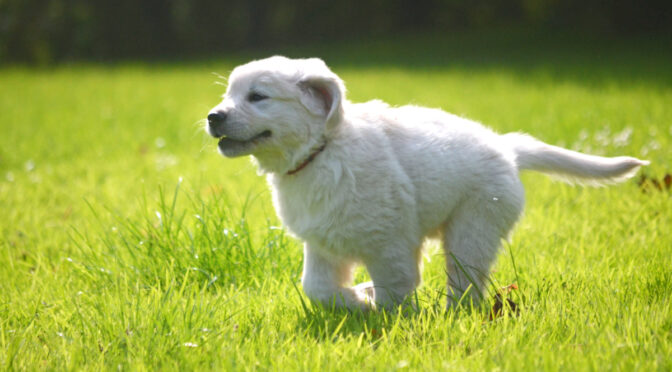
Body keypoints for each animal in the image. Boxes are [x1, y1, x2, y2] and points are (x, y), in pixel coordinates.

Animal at [206, 55, 652, 310]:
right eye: (229, 94)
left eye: (258, 97)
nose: (213, 116)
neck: (322, 150)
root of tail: (506, 147)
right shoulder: (322, 243)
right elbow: (317, 288)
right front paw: (357, 298)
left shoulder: (390, 243)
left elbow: (395, 291)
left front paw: (377, 309)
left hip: (473, 229)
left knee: (466, 286)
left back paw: (455, 314)